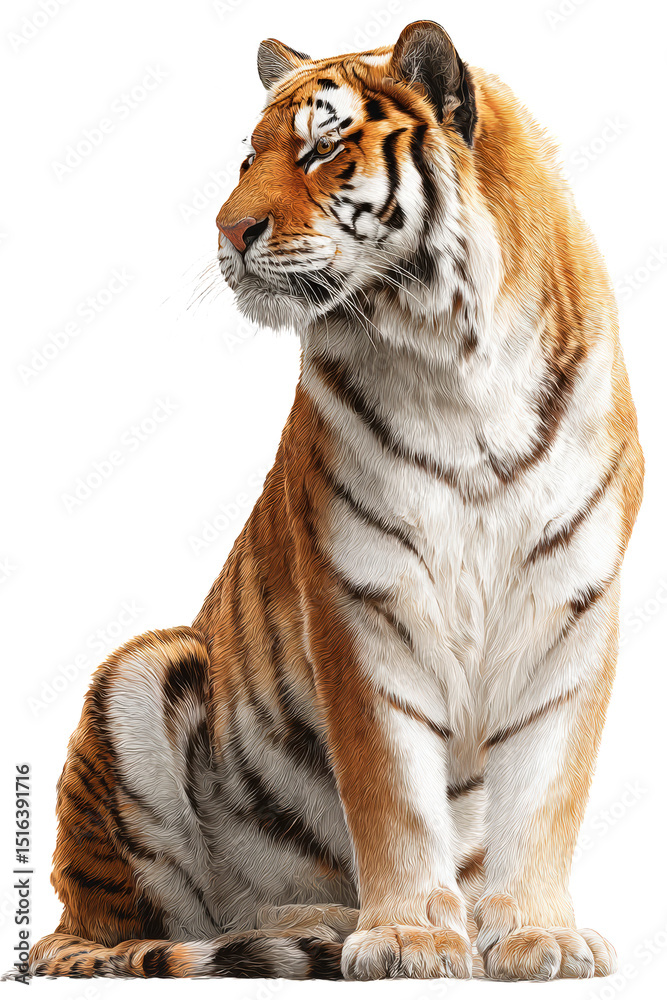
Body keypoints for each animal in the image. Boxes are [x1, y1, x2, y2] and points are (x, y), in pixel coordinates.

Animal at [27, 20, 643, 982]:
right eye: (248, 157)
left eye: (320, 149)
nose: (227, 229)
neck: (456, 361)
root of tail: (61, 917)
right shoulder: (362, 600)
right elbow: (391, 793)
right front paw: (410, 937)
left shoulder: (570, 601)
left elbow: (547, 793)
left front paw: (535, 934)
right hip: (140, 673)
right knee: (172, 923)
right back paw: (323, 923)